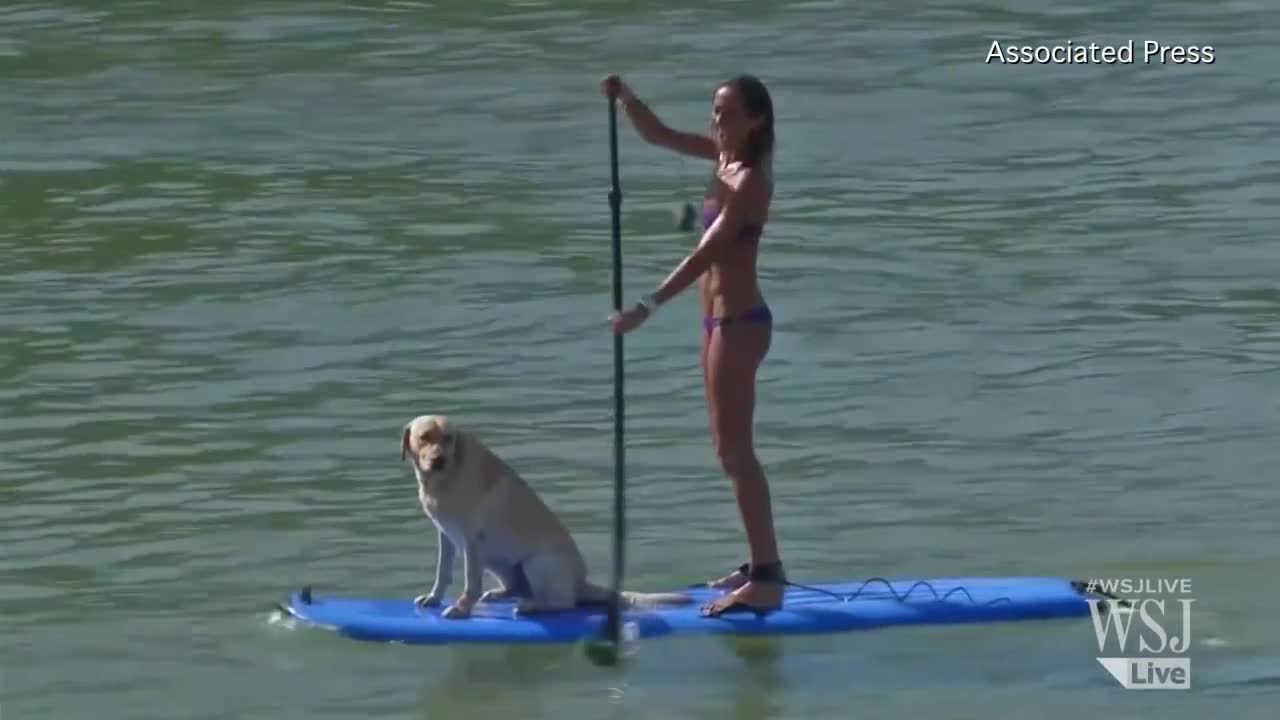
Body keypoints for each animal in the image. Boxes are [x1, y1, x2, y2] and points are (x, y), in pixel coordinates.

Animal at [401, 415, 696, 617]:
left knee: (562, 603)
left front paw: (461, 609)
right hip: (501, 562)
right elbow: (442, 572)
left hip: (538, 562)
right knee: (516, 587)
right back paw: (503, 594)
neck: (445, 479)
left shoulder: (473, 540)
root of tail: (581, 583)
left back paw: (532, 606)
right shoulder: (446, 535)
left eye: (448, 439)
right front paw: (434, 597)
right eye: (425, 437)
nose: (439, 460)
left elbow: (470, 582)